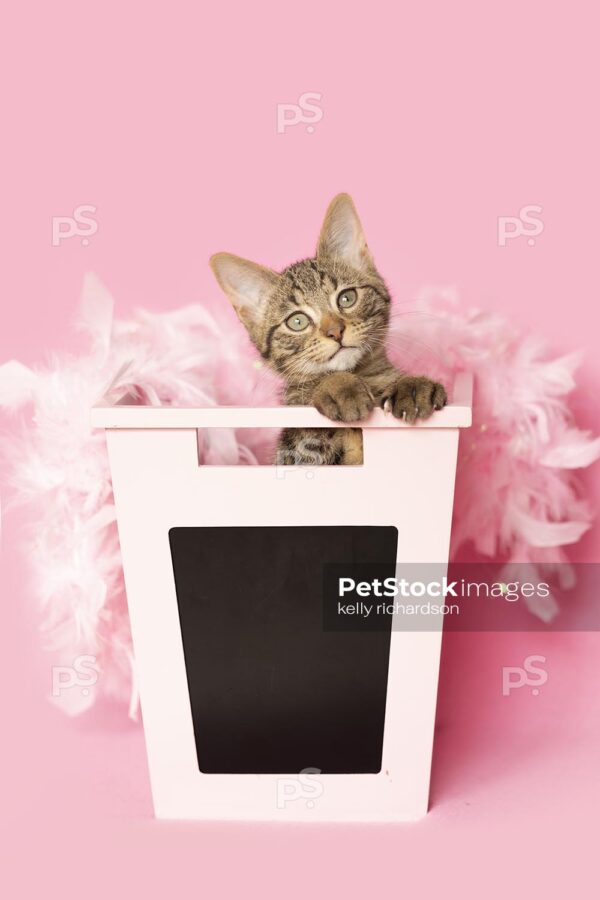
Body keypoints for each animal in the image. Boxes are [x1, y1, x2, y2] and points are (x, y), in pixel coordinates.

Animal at [210, 195, 446, 464]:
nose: (335, 331)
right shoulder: (297, 449)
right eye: (297, 321)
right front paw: (340, 387)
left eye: (347, 298)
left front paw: (413, 385)